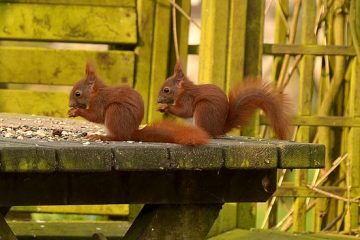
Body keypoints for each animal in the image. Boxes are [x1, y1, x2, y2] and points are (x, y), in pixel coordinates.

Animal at [68, 62, 208, 144]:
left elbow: (96, 116)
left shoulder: (100, 102)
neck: (95, 93)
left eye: (77, 93)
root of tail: (132, 132)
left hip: (115, 112)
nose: (70, 105)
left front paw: (76, 111)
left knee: (120, 137)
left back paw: (102, 137)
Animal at [157, 62, 290, 140]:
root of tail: (219, 129)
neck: (183, 90)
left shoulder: (187, 98)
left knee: (207, 134)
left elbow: (185, 111)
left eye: (166, 90)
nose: (158, 100)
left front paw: (166, 107)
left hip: (203, 109)